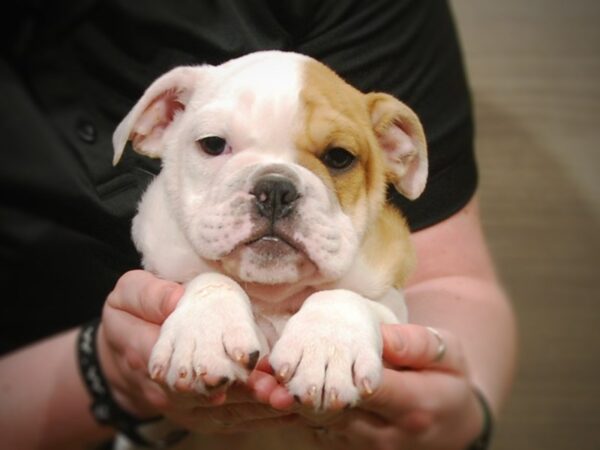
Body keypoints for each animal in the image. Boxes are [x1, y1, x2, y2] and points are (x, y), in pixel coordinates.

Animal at [110, 51, 424, 446]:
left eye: (339, 157)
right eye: (213, 144)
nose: (275, 188)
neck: (273, 295)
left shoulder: (398, 312)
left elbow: (343, 296)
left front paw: (327, 346)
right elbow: (210, 280)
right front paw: (204, 332)